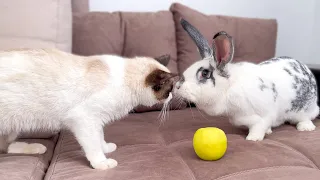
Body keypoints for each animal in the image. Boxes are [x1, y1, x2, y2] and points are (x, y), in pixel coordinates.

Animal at [0, 48, 175, 169]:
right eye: (169, 90)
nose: (172, 97)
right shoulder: (84, 119)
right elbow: (93, 145)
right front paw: (102, 163)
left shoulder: (96, 120)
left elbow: (100, 137)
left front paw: (106, 148)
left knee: (5, 148)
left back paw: (35, 148)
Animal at [174, 19, 318, 141]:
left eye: (204, 73)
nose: (177, 86)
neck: (229, 88)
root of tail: (306, 68)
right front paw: (266, 132)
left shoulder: (264, 116)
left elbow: (259, 126)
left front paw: (253, 138)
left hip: (305, 110)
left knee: (307, 117)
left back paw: (305, 127)